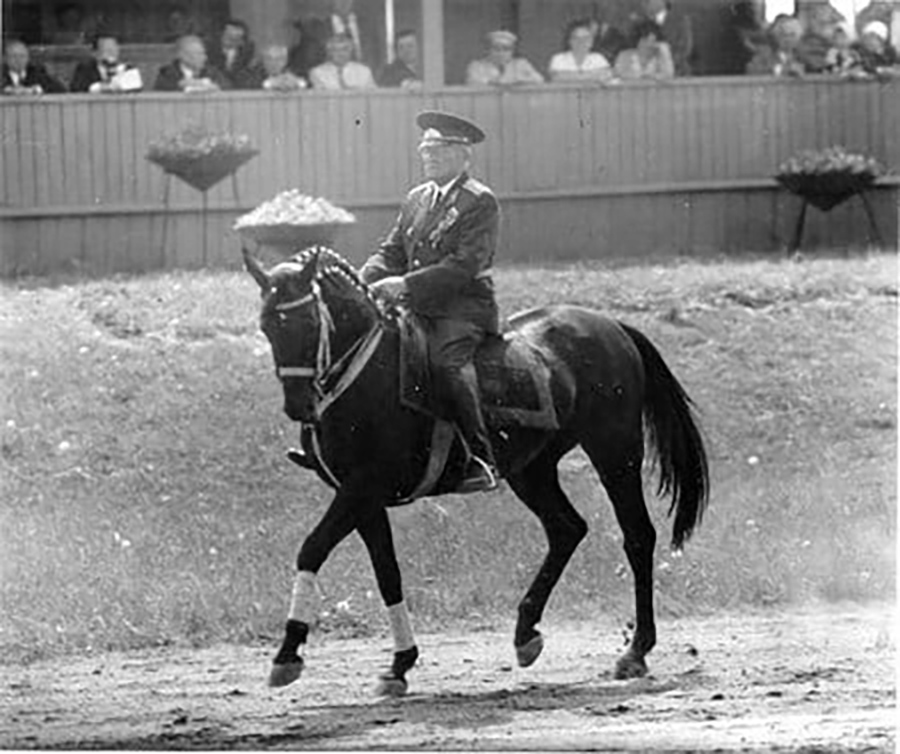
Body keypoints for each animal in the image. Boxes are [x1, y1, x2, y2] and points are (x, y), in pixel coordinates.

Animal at [243, 245, 708, 692]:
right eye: (267, 326)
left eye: (306, 323)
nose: (298, 406)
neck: (367, 374)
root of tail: (611, 325)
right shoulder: (364, 499)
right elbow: (387, 574)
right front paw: (401, 663)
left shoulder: (362, 489)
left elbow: (312, 548)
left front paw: (287, 654)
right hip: (532, 470)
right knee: (567, 529)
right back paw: (526, 633)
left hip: (615, 452)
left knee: (637, 536)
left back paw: (636, 650)